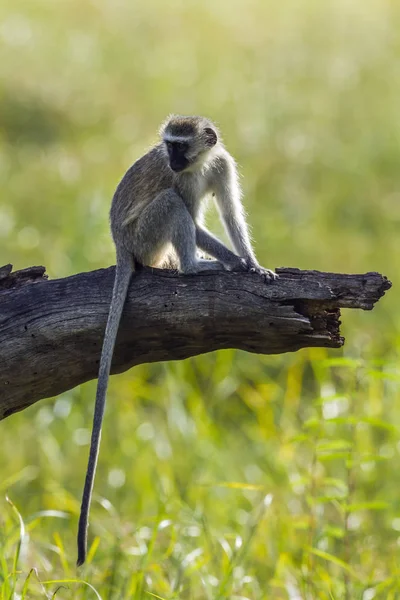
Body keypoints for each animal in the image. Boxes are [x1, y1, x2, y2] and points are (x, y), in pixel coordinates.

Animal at [77, 115, 278, 564]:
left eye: (179, 145)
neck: (198, 164)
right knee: (170, 204)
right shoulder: (183, 181)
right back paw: (191, 267)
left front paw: (252, 263)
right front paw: (237, 263)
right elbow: (192, 214)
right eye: (167, 145)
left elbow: (230, 213)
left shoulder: (222, 165)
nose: (169, 160)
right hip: (144, 236)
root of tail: (121, 245)